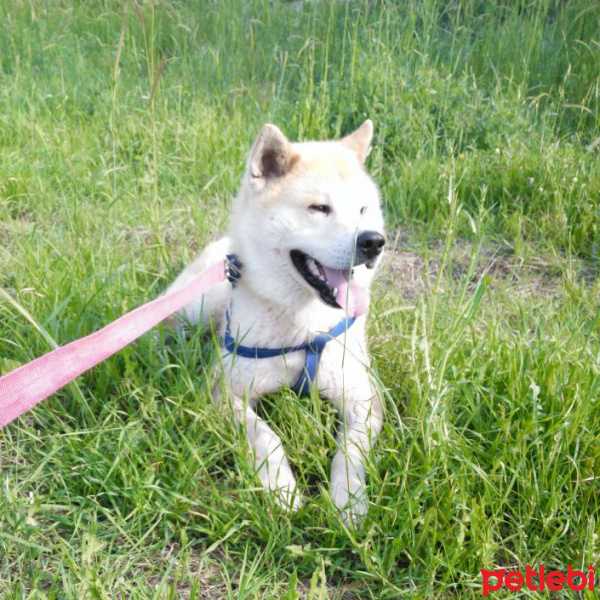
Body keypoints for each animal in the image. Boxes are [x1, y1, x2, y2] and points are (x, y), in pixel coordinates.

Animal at [165, 122, 384, 524]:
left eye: (364, 209)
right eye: (319, 208)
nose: (374, 241)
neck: (304, 329)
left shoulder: (364, 398)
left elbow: (350, 453)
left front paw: (349, 500)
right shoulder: (223, 391)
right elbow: (266, 436)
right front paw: (282, 487)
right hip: (199, 306)